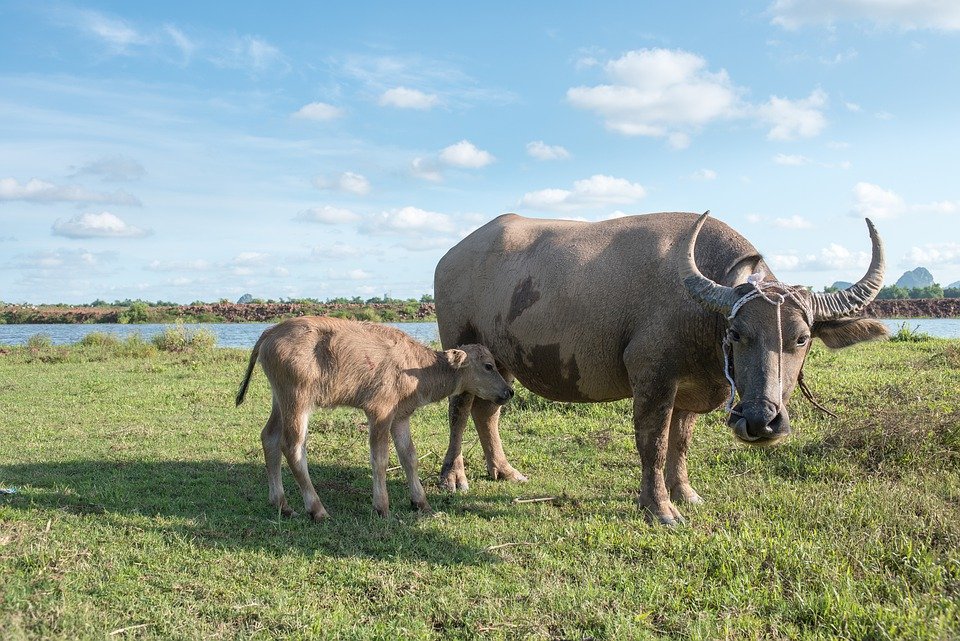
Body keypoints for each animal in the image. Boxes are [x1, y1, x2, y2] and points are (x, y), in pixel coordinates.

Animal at [436, 212, 884, 524]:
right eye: (737, 333)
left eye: (802, 338)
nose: (760, 420)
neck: (700, 313)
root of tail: (450, 257)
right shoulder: (652, 377)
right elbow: (653, 443)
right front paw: (660, 508)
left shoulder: (690, 388)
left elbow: (680, 442)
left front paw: (684, 492)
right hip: (460, 344)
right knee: (459, 410)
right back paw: (453, 477)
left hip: (502, 361)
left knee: (487, 410)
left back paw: (504, 471)